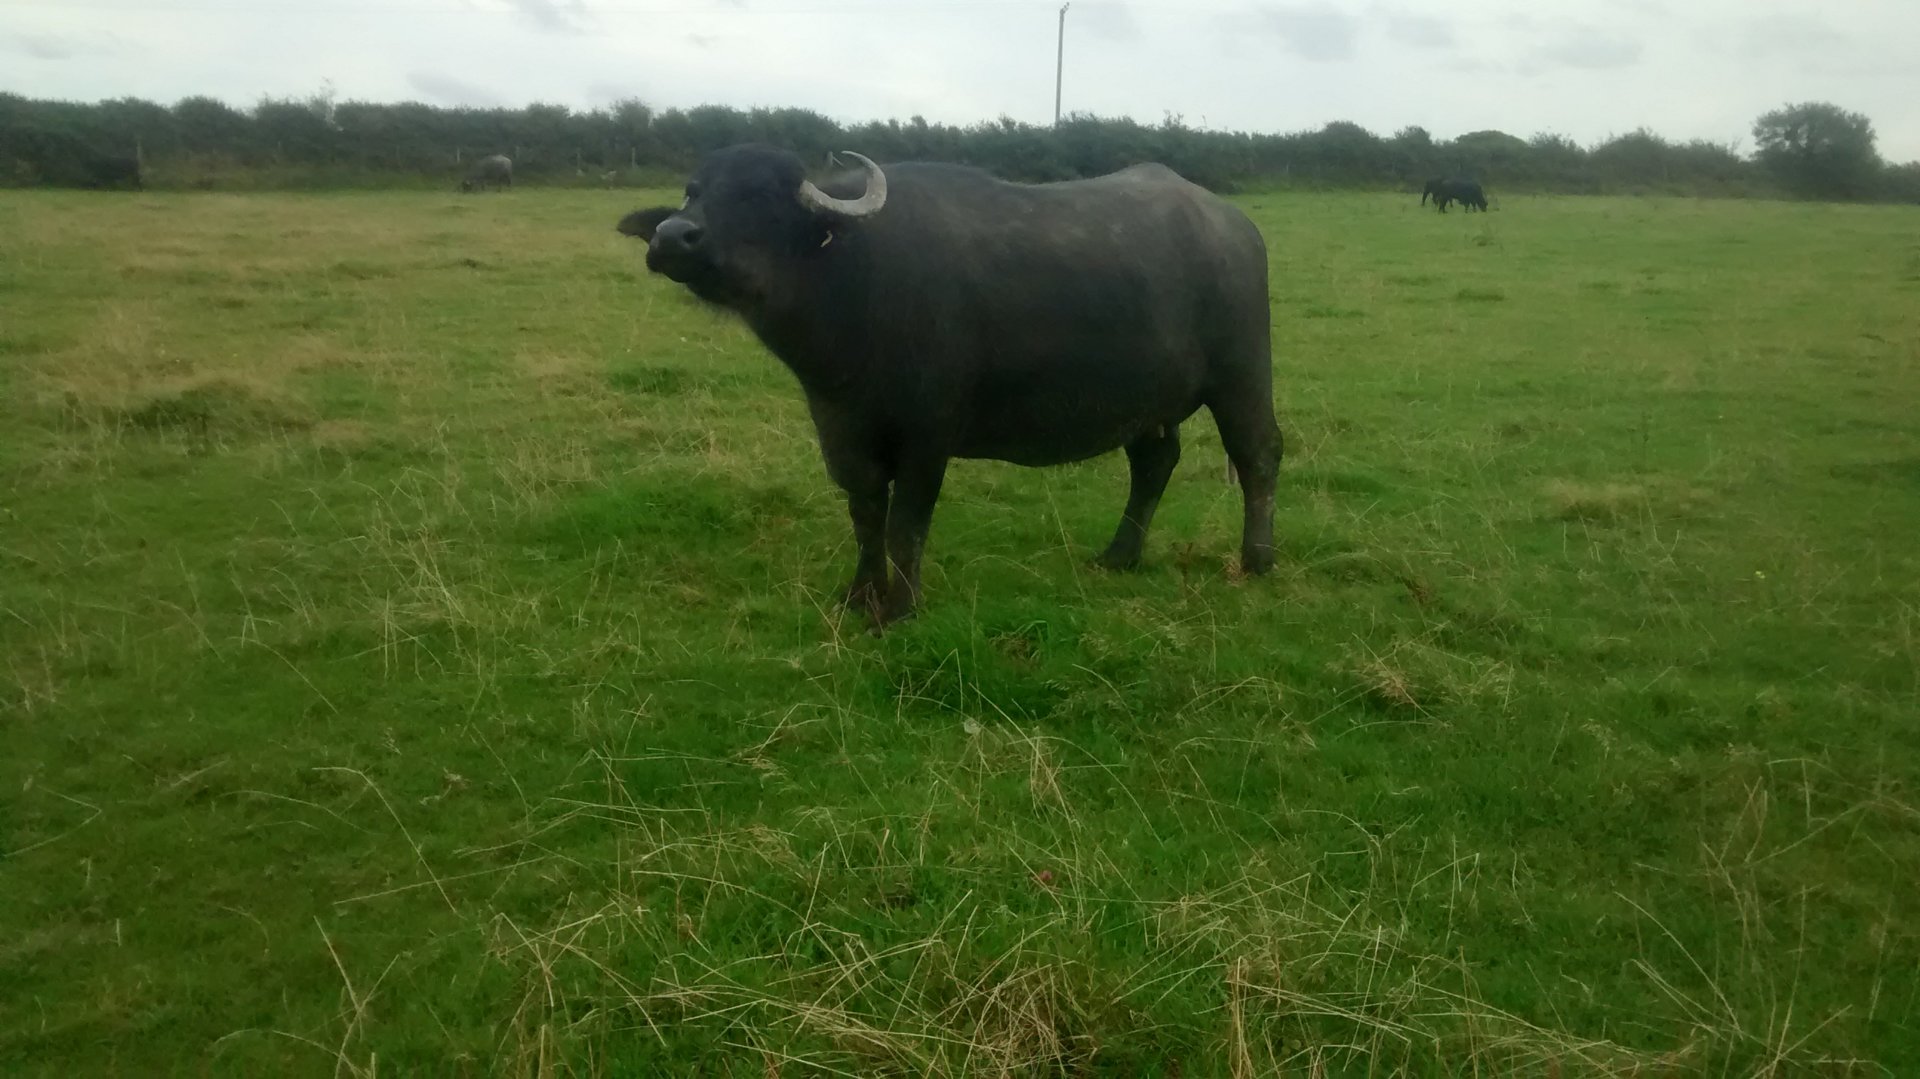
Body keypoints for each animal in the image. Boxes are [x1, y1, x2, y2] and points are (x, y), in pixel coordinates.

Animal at [617, 144, 1281, 629]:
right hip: (1146, 401)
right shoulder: (840, 430)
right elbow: (866, 515)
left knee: (1258, 454)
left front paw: (899, 608)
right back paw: (1120, 555)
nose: (672, 237)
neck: (856, 283)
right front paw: (860, 596)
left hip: (1242, 374)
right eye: (695, 192)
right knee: (1154, 463)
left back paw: (1257, 559)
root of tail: (1237, 227)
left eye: (759, 196)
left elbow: (906, 523)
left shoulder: (927, 435)